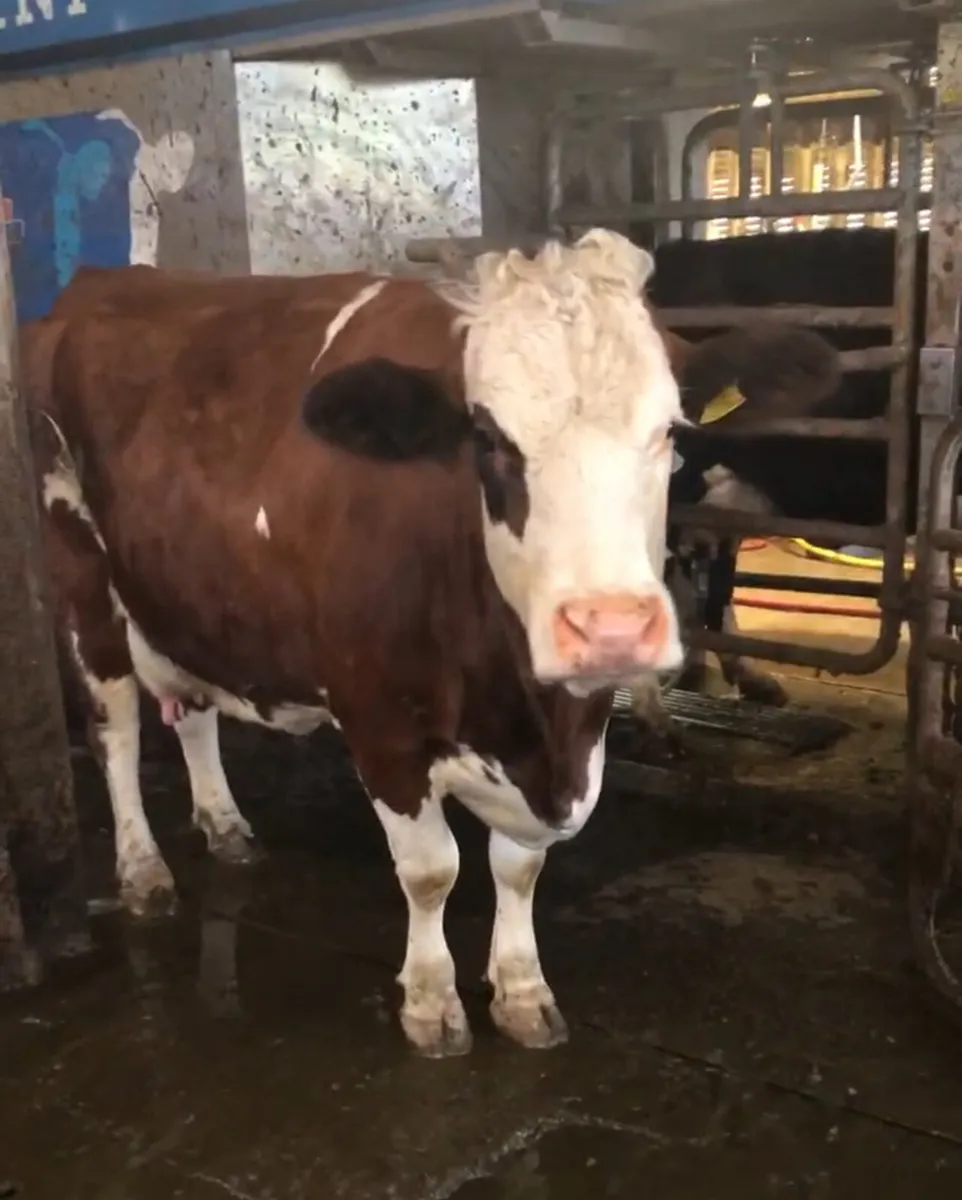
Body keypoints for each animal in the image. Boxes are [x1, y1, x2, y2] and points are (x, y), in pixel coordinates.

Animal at [25, 236, 838, 1057]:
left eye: (670, 430)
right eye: (488, 439)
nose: (610, 626)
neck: (528, 717)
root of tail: (106, 281)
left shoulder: (572, 735)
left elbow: (519, 867)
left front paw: (520, 988)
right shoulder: (377, 716)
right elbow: (430, 869)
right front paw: (429, 998)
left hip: (185, 597)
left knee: (191, 712)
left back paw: (223, 823)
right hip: (80, 572)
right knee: (117, 731)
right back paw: (141, 868)